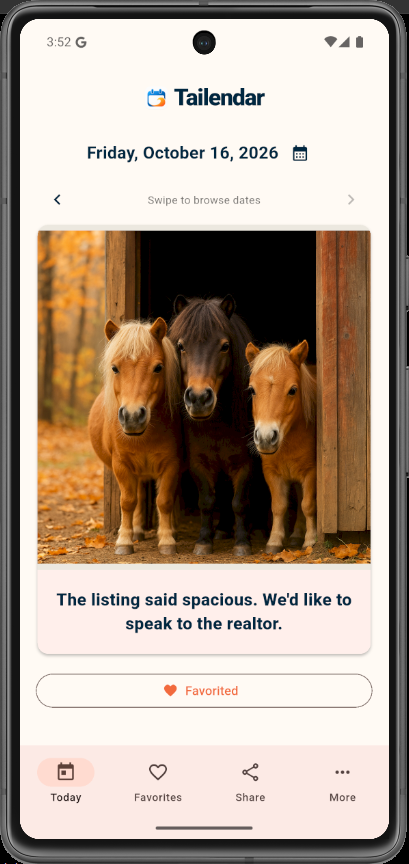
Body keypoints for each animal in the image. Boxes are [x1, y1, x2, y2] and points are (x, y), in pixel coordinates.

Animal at [88, 318, 182, 555]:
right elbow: (128, 501)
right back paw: (137, 531)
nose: (132, 417)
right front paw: (124, 541)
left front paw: (167, 541)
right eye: (114, 368)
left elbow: (165, 501)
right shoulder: (122, 465)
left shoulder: (171, 464)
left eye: (158, 367)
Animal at [169, 294, 253, 556]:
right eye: (181, 346)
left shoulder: (243, 464)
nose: (198, 398)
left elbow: (239, 502)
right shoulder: (199, 463)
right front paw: (204, 541)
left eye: (225, 346)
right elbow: (207, 501)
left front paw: (243, 542)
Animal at [245, 340, 317, 553]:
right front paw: (274, 541)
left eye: (292, 390)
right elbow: (279, 506)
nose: (266, 437)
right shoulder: (271, 472)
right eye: (252, 390)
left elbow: (308, 505)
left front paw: (311, 540)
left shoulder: (311, 472)